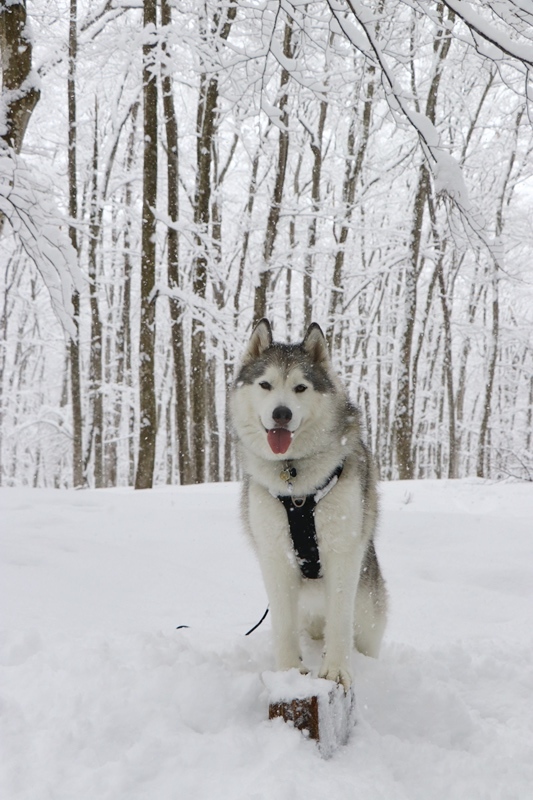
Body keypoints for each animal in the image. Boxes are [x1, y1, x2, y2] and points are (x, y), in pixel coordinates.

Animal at [230, 318, 386, 688]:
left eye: (300, 388)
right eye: (265, 384)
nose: (281, 413)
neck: (294, 476)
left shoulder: (342, 552)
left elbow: (339, 622)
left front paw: (337, 670)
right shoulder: (275, 557)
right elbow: (283, 625)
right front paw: (289, 672)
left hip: (369, 612)